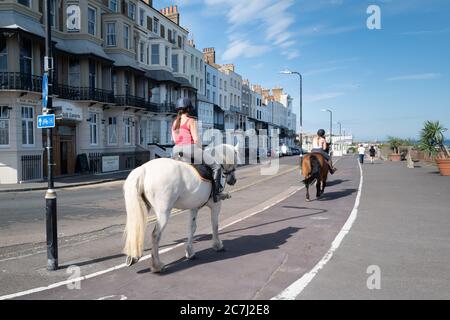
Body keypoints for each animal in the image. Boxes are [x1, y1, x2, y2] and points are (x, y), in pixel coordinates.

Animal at [121, 144, 237, 272]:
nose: (233, 180)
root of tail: (144, 169)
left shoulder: (194, 207)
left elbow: (192, 228)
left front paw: (190, 252)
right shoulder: (216, 205)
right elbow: (215, 224)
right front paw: (218, 245)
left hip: (142, 208)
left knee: (136, 227)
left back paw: (133, 257)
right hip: (163, 212)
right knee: (155, 235)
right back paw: (157, 265)